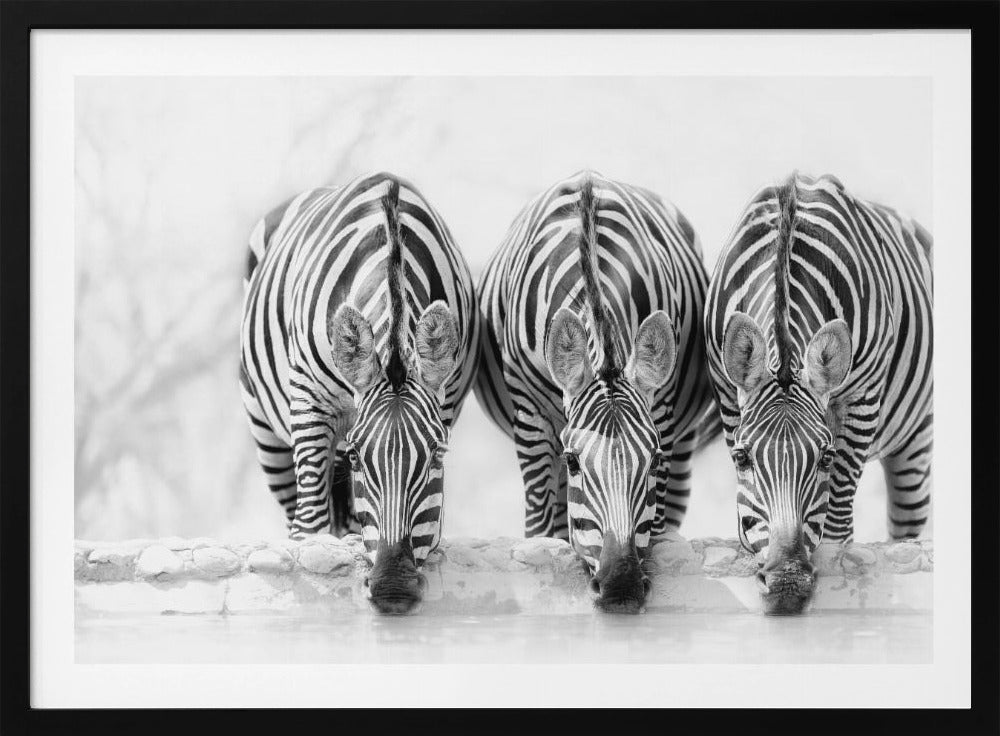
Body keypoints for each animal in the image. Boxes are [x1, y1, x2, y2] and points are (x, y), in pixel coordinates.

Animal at [240, 172, 479, 614]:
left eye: (438, 455)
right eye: (356, 457)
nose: (392, 588)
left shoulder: (447, 399)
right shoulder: (309, 400)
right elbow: (310, 527)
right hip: (267, 433)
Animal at [475, 170, 717, 613]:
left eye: (654, 460)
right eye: (573, 461)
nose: (621, 586)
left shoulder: (663, 412)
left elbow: (656, 523)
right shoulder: (530, 416)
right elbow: (540, 525)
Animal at [704, 172, 933, 615]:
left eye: (824, 457)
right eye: (741, 457)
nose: (786, 583)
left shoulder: (863, 399)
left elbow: (838, 506)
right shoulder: (726, 394)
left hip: (917, 438)